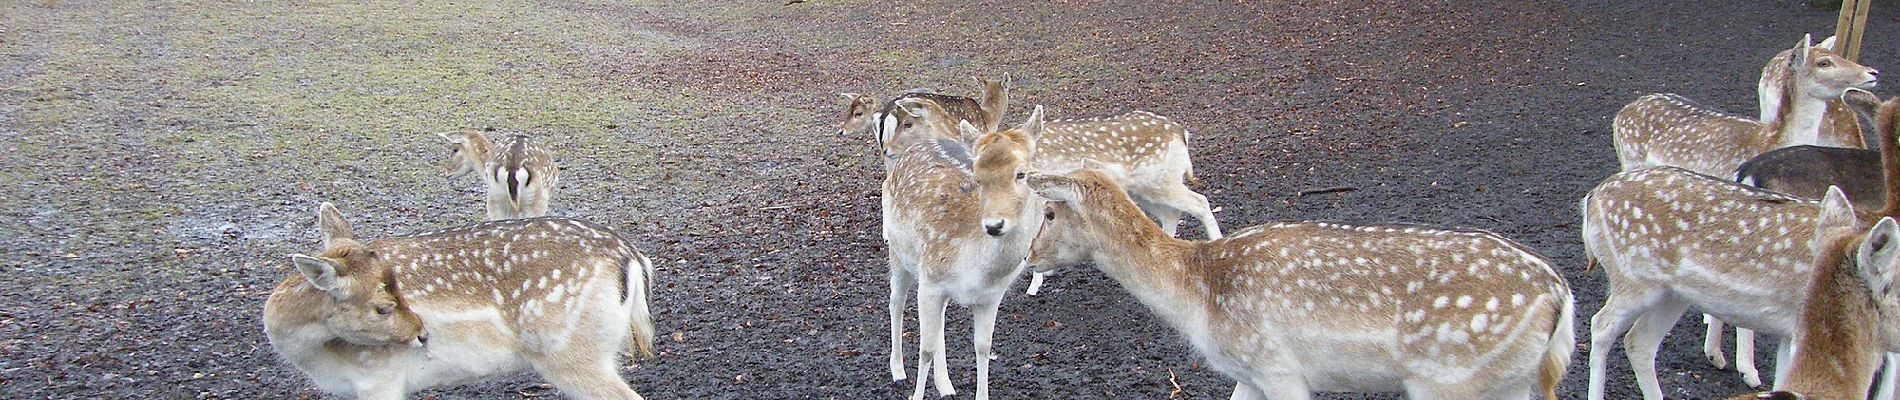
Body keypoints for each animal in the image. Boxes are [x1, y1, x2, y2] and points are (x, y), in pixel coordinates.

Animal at [881, 103, 1048, 400]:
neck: (978, 270)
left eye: (1022, 174)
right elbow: (925, 349)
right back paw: (898, 371)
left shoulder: (990, 297)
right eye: (978, 177)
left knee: (940, 322)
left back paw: (945, 385)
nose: (994, 225)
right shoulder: (930, 281)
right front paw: (916, 393)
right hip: (899, 254)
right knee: (896, 301)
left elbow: (983, 347)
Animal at [1026, 169, 1573, 400]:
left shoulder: (1278, 366)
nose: (1029, 255)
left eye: (1050, 212)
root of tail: (1559, 295)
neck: (1196, 296)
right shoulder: (1249, 373)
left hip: (1446, 380)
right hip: (1509, 382)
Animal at [1611, 33, 1877, 177]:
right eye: (1824, 63)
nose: (1872, 72)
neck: (1772, 140)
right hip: (1630, 159)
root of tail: (1619, 115)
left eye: (1841, 55)